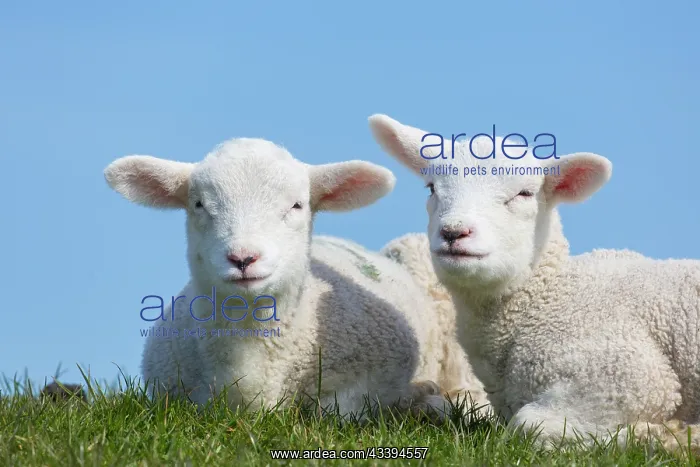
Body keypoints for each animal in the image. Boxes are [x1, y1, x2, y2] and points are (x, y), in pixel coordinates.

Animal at [104, 137, 487, 422]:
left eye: (297, 206)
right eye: (198, 204)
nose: (243, 258)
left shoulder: (371, 374)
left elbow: (332, 412)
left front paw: (416, 398)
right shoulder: (169, 392)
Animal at [368, 113, 700, 452]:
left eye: (525, 194)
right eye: (432, 188)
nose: (453, 232)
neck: (548, 297)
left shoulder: (626, 376)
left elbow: (527, 425)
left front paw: (658, 436)